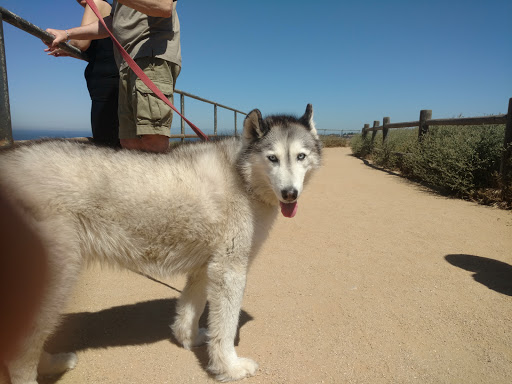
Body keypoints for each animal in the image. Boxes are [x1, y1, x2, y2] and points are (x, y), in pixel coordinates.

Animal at [1, 103, 320, 382]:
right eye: (272, 158)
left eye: (301, 157)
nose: (290, 193)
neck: (242, 176)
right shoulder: (229, 270)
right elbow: (226, 328)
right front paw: (229, 367)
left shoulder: (206, 267)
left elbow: (191, 309)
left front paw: (189, 339)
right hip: (56, 278)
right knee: (20, 352)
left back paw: (52, 363)